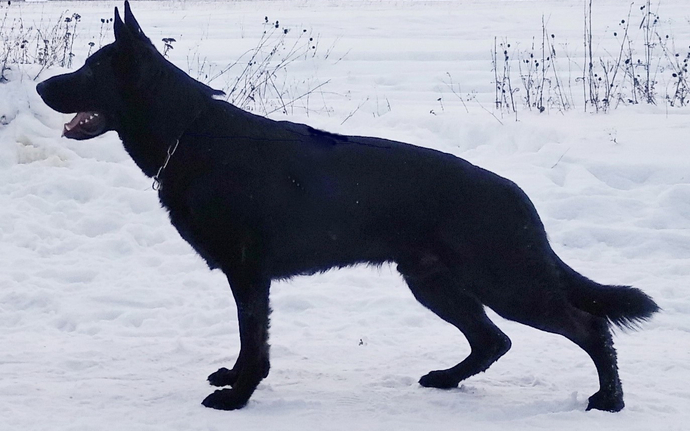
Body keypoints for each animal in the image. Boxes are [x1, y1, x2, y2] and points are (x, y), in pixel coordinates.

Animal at [35, 1, 660, 414]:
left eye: (89, 70)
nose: (40, 88)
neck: (188, 134)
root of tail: (516, 195)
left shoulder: (249, 274)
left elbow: (255, 342)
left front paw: (239, 395)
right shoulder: (247, 277)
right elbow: (246, 340)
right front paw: (235, 378)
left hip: (504, 282)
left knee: (588, 326)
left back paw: (609, 399)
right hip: (433, 283)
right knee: (493, 340)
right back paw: (448, 380)